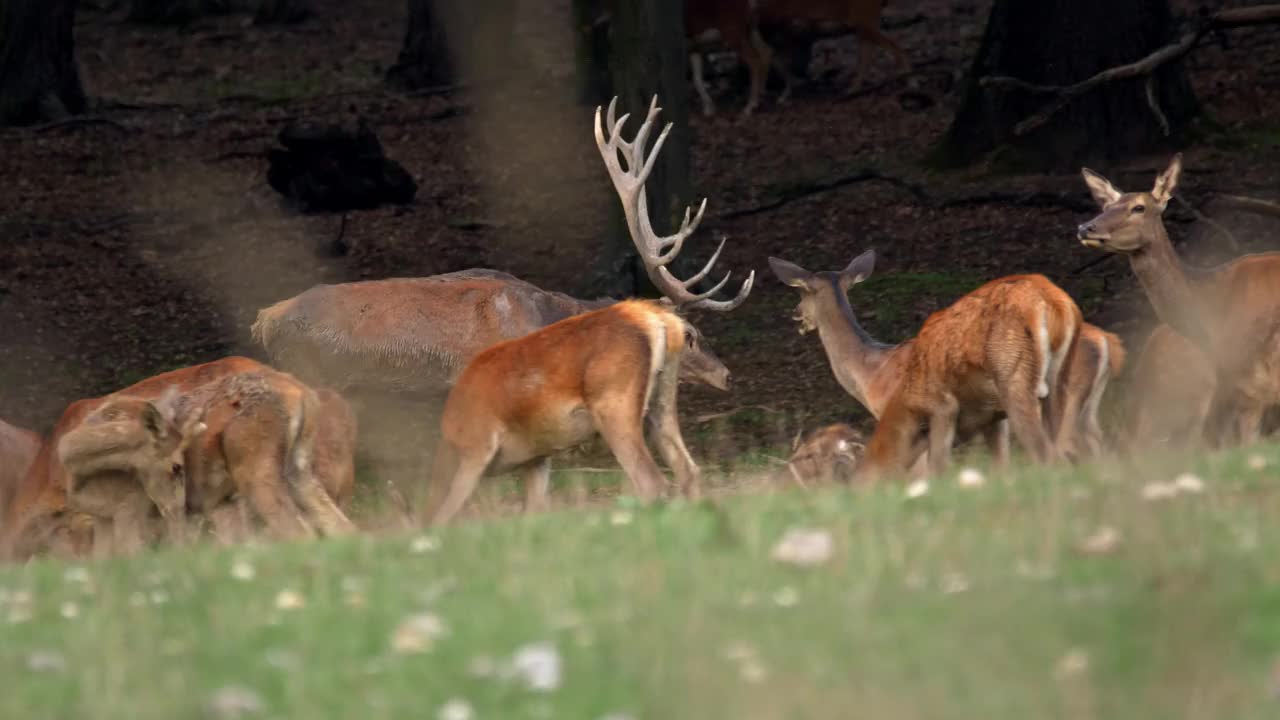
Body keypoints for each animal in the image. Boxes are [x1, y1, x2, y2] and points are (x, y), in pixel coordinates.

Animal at [414, 94, 752, 520]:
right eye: (693, 335)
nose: (728, 375)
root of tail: (654, 321)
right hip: (654, 407)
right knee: (687, 473)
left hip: (614, 406)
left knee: (653, 482)